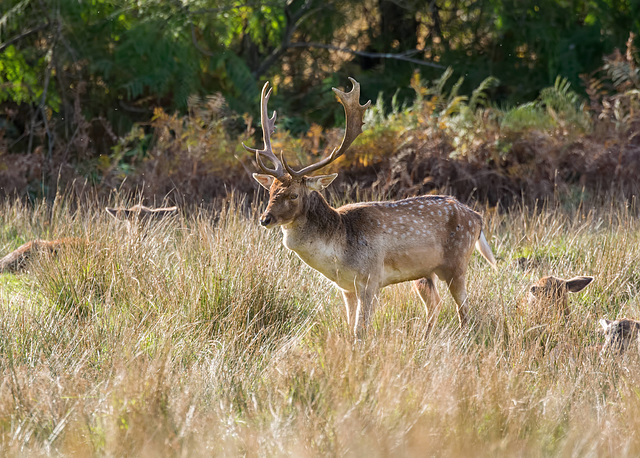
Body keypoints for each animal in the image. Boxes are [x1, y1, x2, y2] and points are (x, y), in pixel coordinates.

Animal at [242, 78, 498, 336]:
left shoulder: (371, 279)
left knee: (464, 309)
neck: (339, 250)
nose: (265, 219)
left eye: (294, 194)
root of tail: (477, 217)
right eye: (270, 191)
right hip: (424, 273)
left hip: (458, 261)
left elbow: (360, 330)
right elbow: (349, 327)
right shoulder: (346, 288)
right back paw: (424, 336)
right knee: (435, 303)